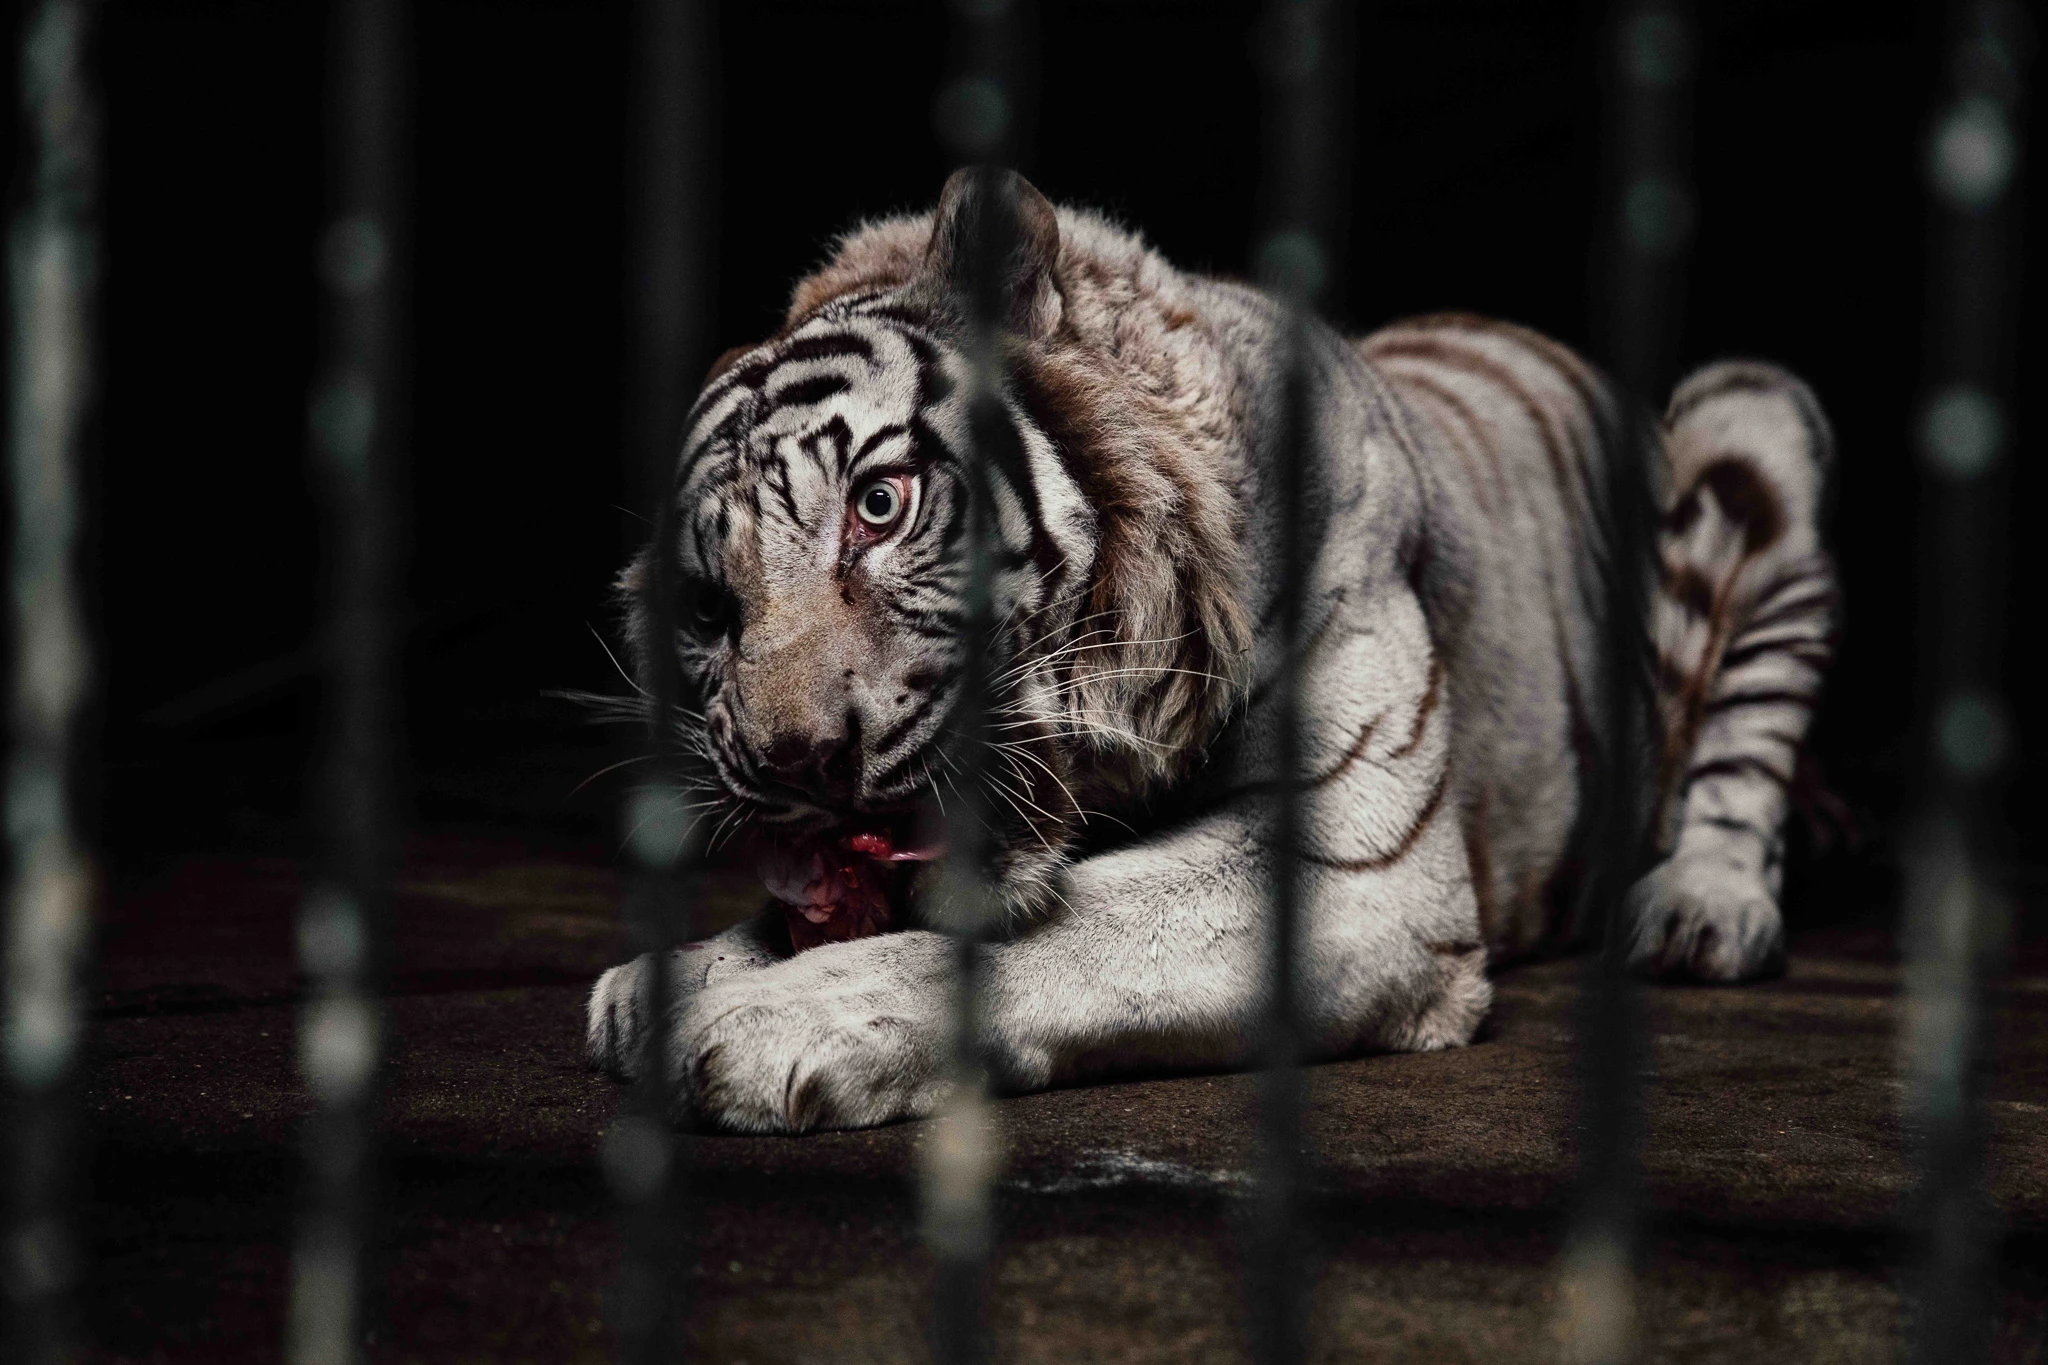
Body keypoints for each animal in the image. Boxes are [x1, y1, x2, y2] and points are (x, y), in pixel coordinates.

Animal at [584, 169, 1837, 1133]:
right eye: (707, 607)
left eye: (878, 504)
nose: (795, 759)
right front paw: (673, 981)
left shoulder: (1357, 870)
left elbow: (1059, 931)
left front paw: (769, 1019)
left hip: (1751, 412)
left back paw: (1701, 911)